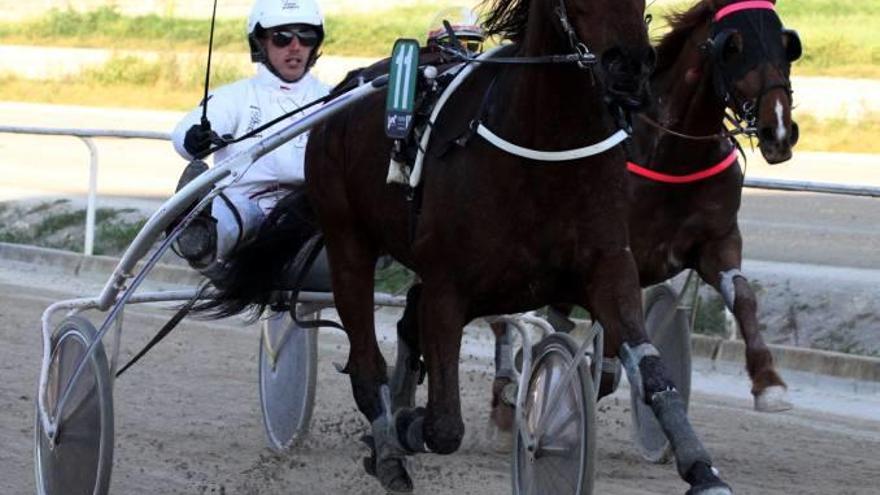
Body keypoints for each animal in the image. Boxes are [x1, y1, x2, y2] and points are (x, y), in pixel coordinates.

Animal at [484, 0, 800, 434]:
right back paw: (512, 389)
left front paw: (769, 383)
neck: (671, 154)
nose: (779, 131)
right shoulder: (610, 251)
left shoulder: (717, 240)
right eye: (733, 47)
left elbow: (743, 295)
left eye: (787, 44)